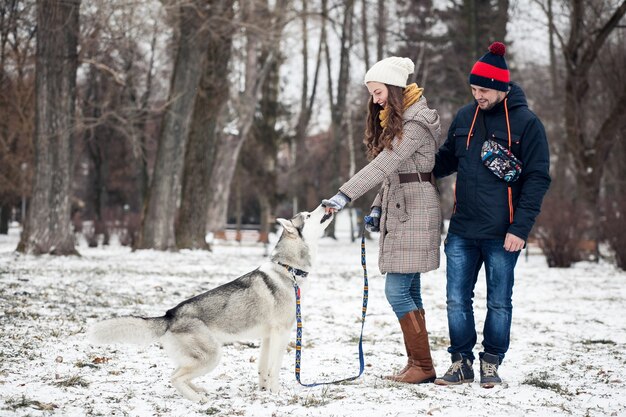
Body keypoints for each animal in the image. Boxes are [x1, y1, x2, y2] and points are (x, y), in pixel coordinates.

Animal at [88, 204, 334, 400]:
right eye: (309, 215)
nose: (325, 203)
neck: (289, 270)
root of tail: (169, 315)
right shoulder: (281, 334)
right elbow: (274, 369)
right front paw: (276, 393)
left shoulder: (267, 337)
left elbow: (263, 368)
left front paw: (263, 391)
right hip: (212, 355)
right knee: (174, 377)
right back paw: (197, 400)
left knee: (179, 374)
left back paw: (198, 391)